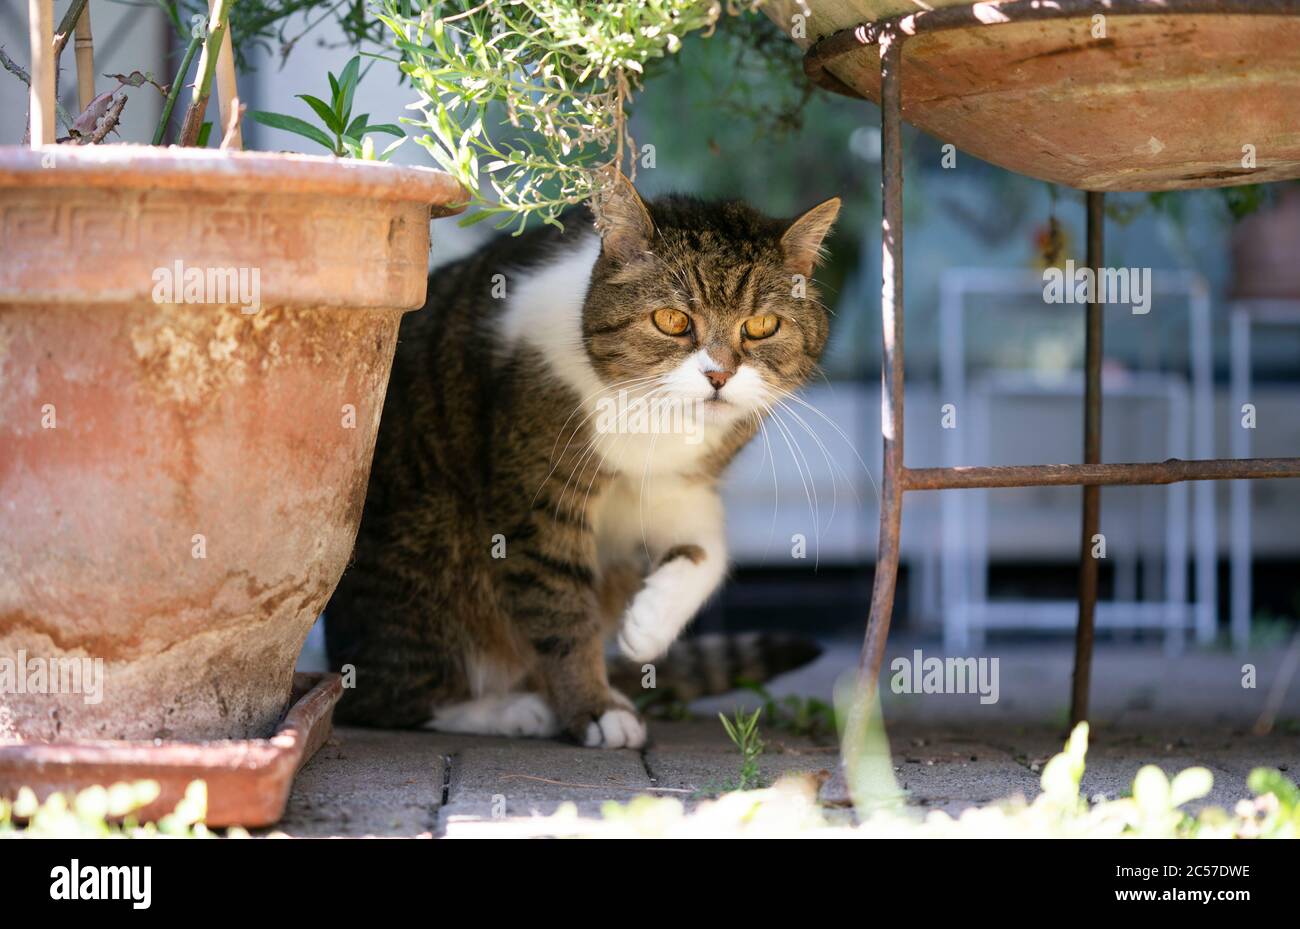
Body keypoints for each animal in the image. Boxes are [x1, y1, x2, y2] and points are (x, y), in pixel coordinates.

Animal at [319, 176, 837, 748]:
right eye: (672, 320)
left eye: (763, 325)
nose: (719, 376)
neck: (651, 417)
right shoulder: (536, 497)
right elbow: (561, 606)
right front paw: (594, 708)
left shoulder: (678, 487)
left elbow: (710, 551)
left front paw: (649, 626)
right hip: (425, 555)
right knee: (384, 697)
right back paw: (512, 710)